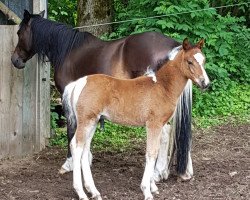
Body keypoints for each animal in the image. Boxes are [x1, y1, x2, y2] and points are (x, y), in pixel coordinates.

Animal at [11, 9, 193, 180]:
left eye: (19, 33)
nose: (15, 60)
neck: (68, 51)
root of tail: (174, 46)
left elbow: (72, 129)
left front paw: (70, 162)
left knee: (165, 132)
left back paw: (158, 172)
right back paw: (183, 171)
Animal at [63, 38, 210, 199]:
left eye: (204, 60)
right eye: (189, 61)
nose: (205, 83)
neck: (162, 87)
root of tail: (78, 83)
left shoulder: (159, 125)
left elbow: (155, 151)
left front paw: (153, 187)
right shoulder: (153, 124)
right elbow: (151, 153)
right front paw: (147, 190)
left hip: (93, 122)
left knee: (84, 149)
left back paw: (94, 191)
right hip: (85, 121)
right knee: (76, 147)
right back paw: (81, 192)